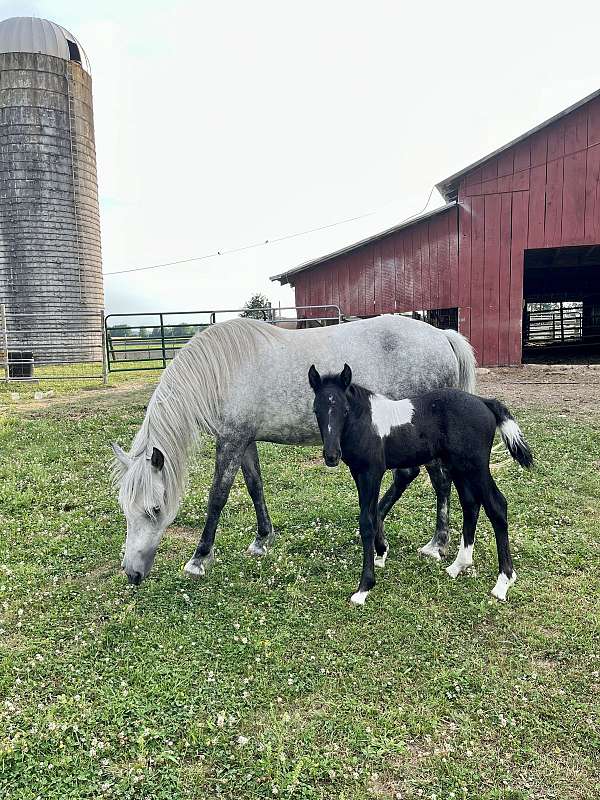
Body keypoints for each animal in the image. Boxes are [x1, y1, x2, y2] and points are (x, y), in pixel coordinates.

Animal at [113, 316, 474, 584]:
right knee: (418, 477)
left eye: (155, 509)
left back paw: (435, 543)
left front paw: (199, 558)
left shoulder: (230, 441)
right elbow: (255, 486)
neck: (222, 371)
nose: (132, 573)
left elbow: (218, 496)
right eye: (125, 510)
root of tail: (442, 336)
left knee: (436, 480)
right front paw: (262, 540)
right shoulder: (245, 441)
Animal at [308, 364, 532, 608]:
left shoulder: (371, 472)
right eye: (316, 411)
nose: (331, 456)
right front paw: (381, 552)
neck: (366, 421)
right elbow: (374, 512)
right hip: (459, 466)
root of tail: (484, 401)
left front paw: (364, 587)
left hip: (476, 466)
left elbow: (367, 520)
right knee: (471, 504)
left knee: (496, 505)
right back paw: (458, 566)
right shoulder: (358, 473)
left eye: (345, 410)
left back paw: (503, 582)